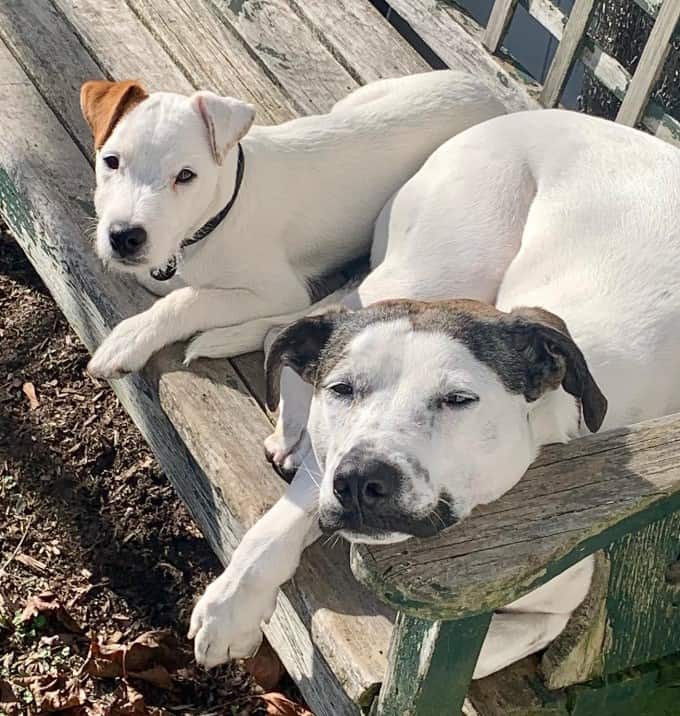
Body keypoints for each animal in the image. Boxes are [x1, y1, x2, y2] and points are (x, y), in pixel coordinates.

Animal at [79, 73, 504, 388]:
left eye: (186, 176)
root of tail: (494, 96)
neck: (220, 212)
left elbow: (189, 300)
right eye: (111, 161)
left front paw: (130, 338)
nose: (124, 237)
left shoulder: (278, 292)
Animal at [189, 109, 680, 680]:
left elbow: (456, 659)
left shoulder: (554, 609)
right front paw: (230, 606)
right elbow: (284, 517)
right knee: (301, 323)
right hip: (442, 262)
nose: (361, 481)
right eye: (341, 389)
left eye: (459, 400)